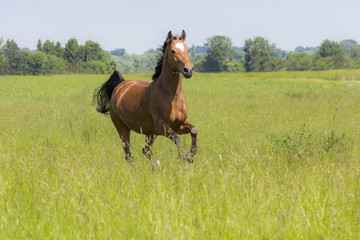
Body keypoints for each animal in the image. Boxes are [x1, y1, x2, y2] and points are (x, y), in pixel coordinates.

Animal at [93, 30, 197, 164]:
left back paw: (155, 164)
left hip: (150, 133)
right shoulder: (162, 126)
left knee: (145, 150)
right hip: (123, 129)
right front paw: (185, 159)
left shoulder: (179, 124)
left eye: (188, 49)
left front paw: (190, 155)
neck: (172, 97)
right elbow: (177, 138)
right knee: (128, 154)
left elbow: (194, 130)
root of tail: (120, 85)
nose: (188, 70)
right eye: (173, 51)